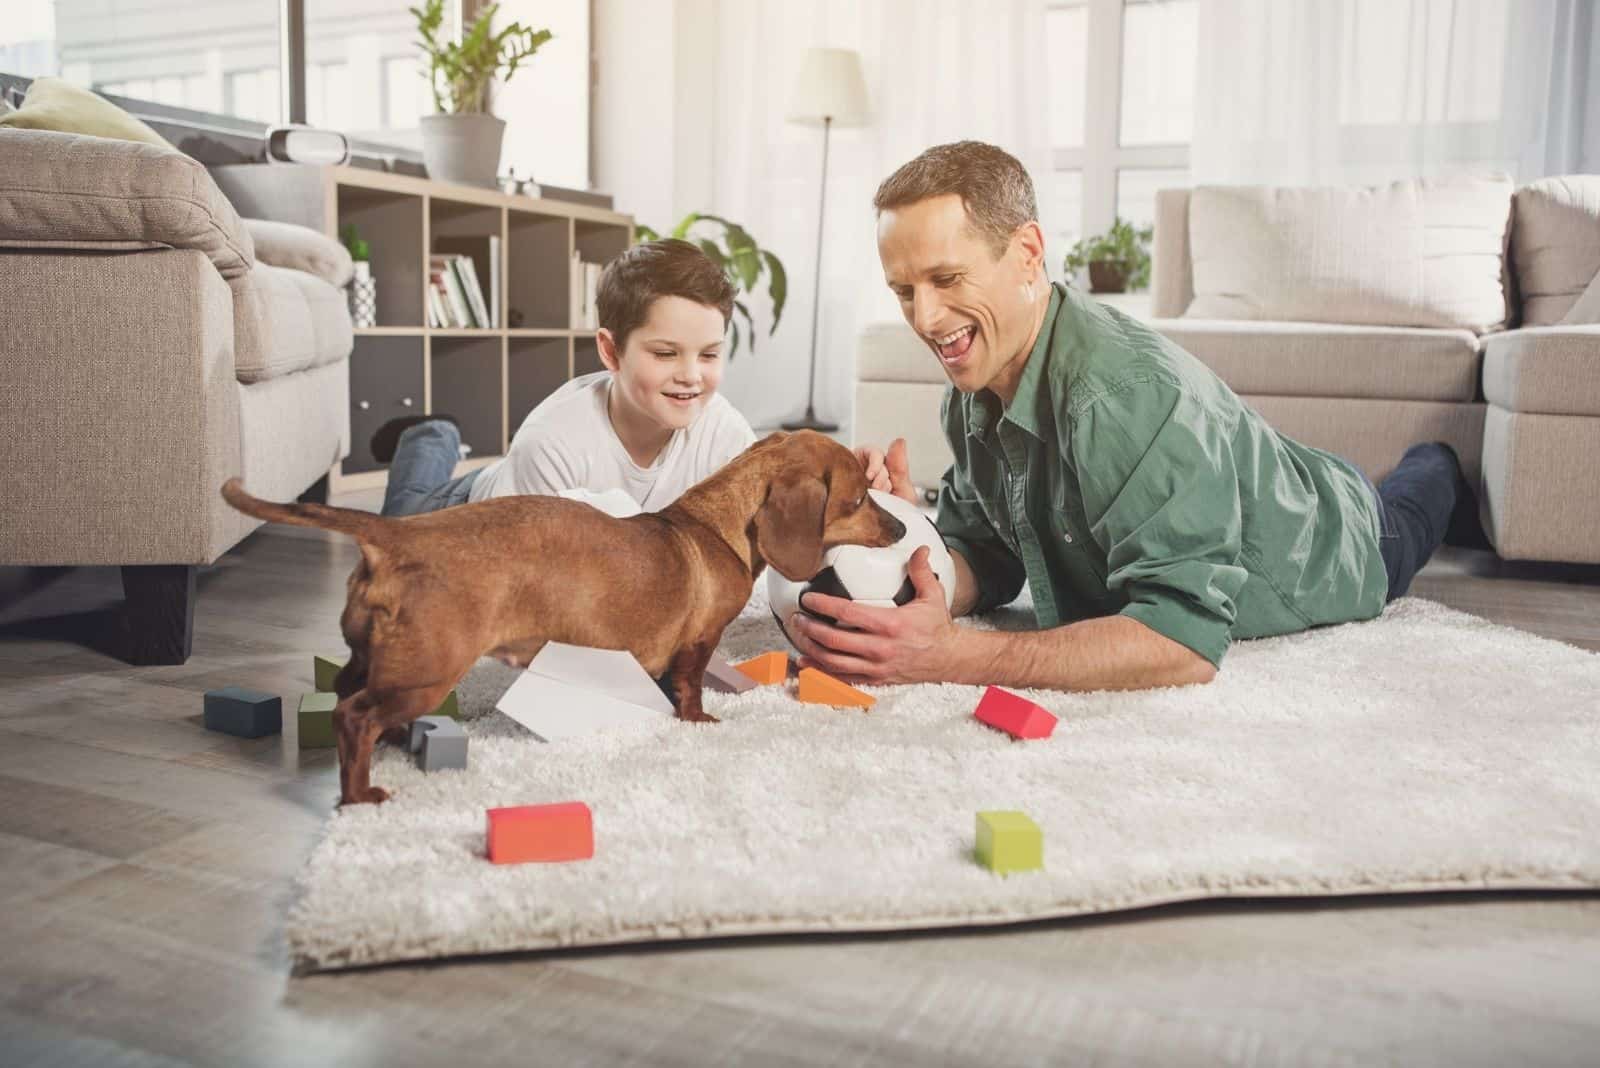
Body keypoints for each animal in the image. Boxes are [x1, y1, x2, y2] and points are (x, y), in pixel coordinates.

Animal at [219, 428, 908, 805]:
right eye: (857, 499)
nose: (903, 527)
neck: (714, 523)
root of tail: (397, 536)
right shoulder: (699, 640)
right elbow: (688, 685)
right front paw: (698, 720)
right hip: (427, 672)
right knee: (353, 716)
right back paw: (360, 794)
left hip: (373, 659)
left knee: (344, 695)